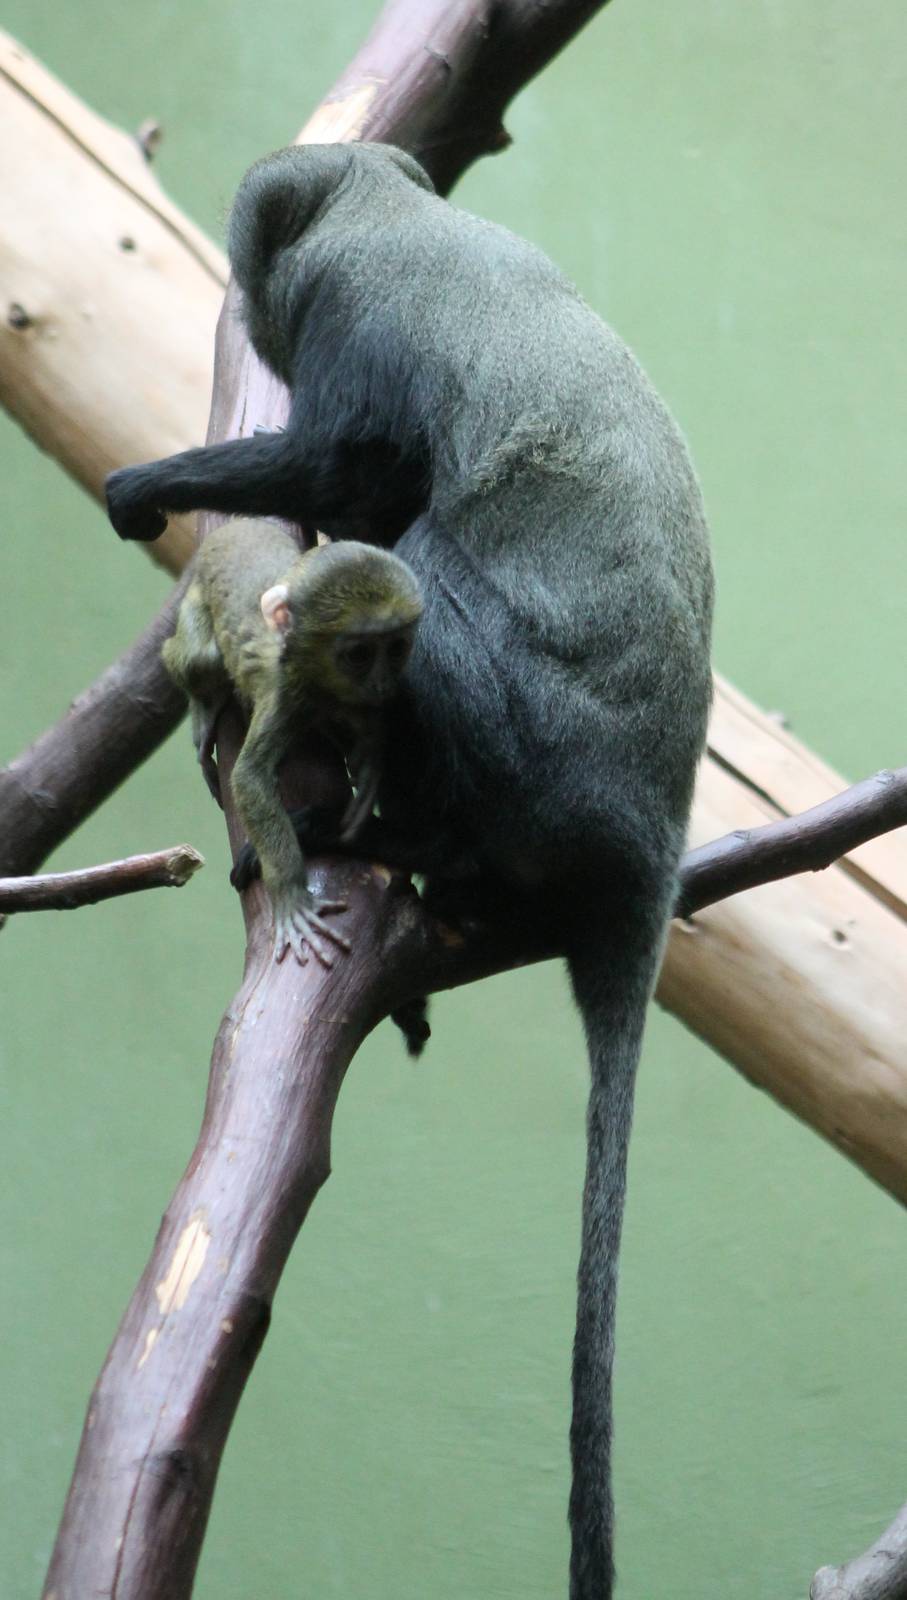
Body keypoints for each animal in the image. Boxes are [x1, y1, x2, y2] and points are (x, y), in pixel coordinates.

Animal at [162, 517, 423, 971]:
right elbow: (248, 778)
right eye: (359, 654)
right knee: (194, 658)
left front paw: (369, 763)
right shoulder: (286, 691)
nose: (381, 682)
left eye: (396, 648)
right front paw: (291, 900)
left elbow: (367, 727)